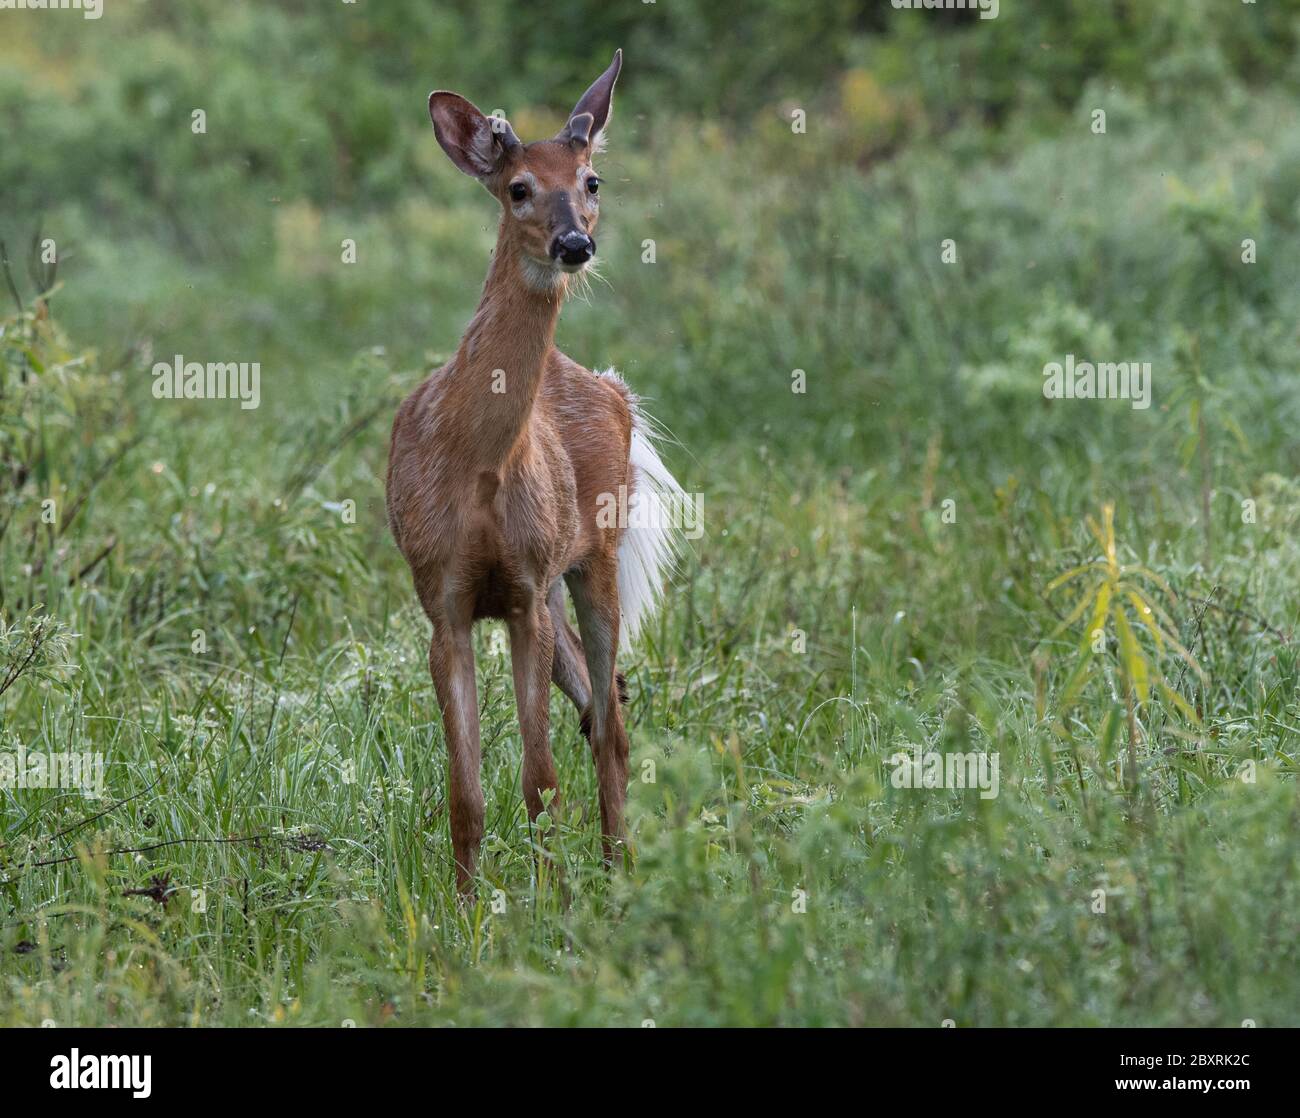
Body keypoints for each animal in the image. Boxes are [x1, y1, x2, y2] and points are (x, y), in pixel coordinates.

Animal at [384, 52, 686, 894]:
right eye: (518, 187)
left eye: (591, 180)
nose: (574, 244)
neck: (478, 467)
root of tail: (613, 388)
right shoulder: (445, 600)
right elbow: (466, 793)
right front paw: (461, 909)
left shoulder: (520, 594)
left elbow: (539, 782)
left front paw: (548, 905)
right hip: (555, 582)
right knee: (600, 704)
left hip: (592, 560)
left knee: (611, 722)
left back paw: (617, 875)